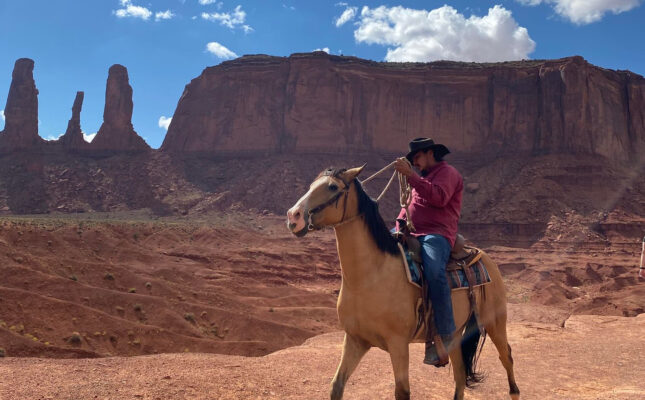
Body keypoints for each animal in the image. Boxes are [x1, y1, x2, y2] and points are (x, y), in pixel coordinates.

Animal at [286, 166, 520, 400]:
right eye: (311, 185)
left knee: (506, 358)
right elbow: (337, 385)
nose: (293, 216)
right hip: (454, 333)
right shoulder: (355, 340)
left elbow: (402, 391)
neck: (370, 277)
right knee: (461, 376)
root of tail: (483, 257)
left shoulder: (398, 344)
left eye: (332, 187)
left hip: (495, 322)